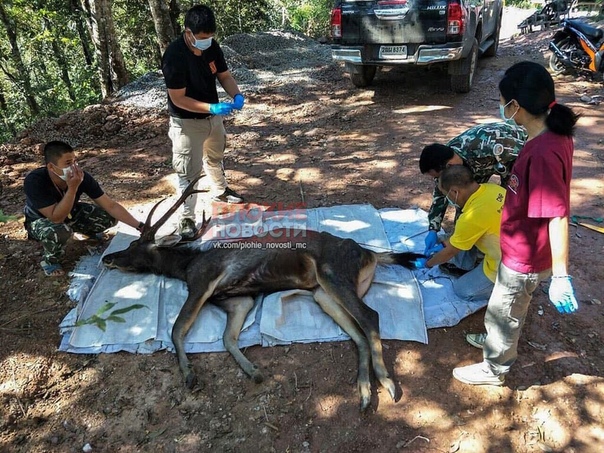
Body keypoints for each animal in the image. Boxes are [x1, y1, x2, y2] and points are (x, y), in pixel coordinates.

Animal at [102, 177, 424, 410]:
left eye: (133, 246)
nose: (108, 258)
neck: (185, 265)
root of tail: (371, 254)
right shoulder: (238, 299)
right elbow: (227, 337)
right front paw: (253, 371)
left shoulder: (203, 281)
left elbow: (177, 328)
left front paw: (189, 374)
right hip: (323, 293)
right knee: (357, 333)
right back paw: (365, 393)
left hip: (333, 273)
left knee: (370, 316)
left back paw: (387, 382)